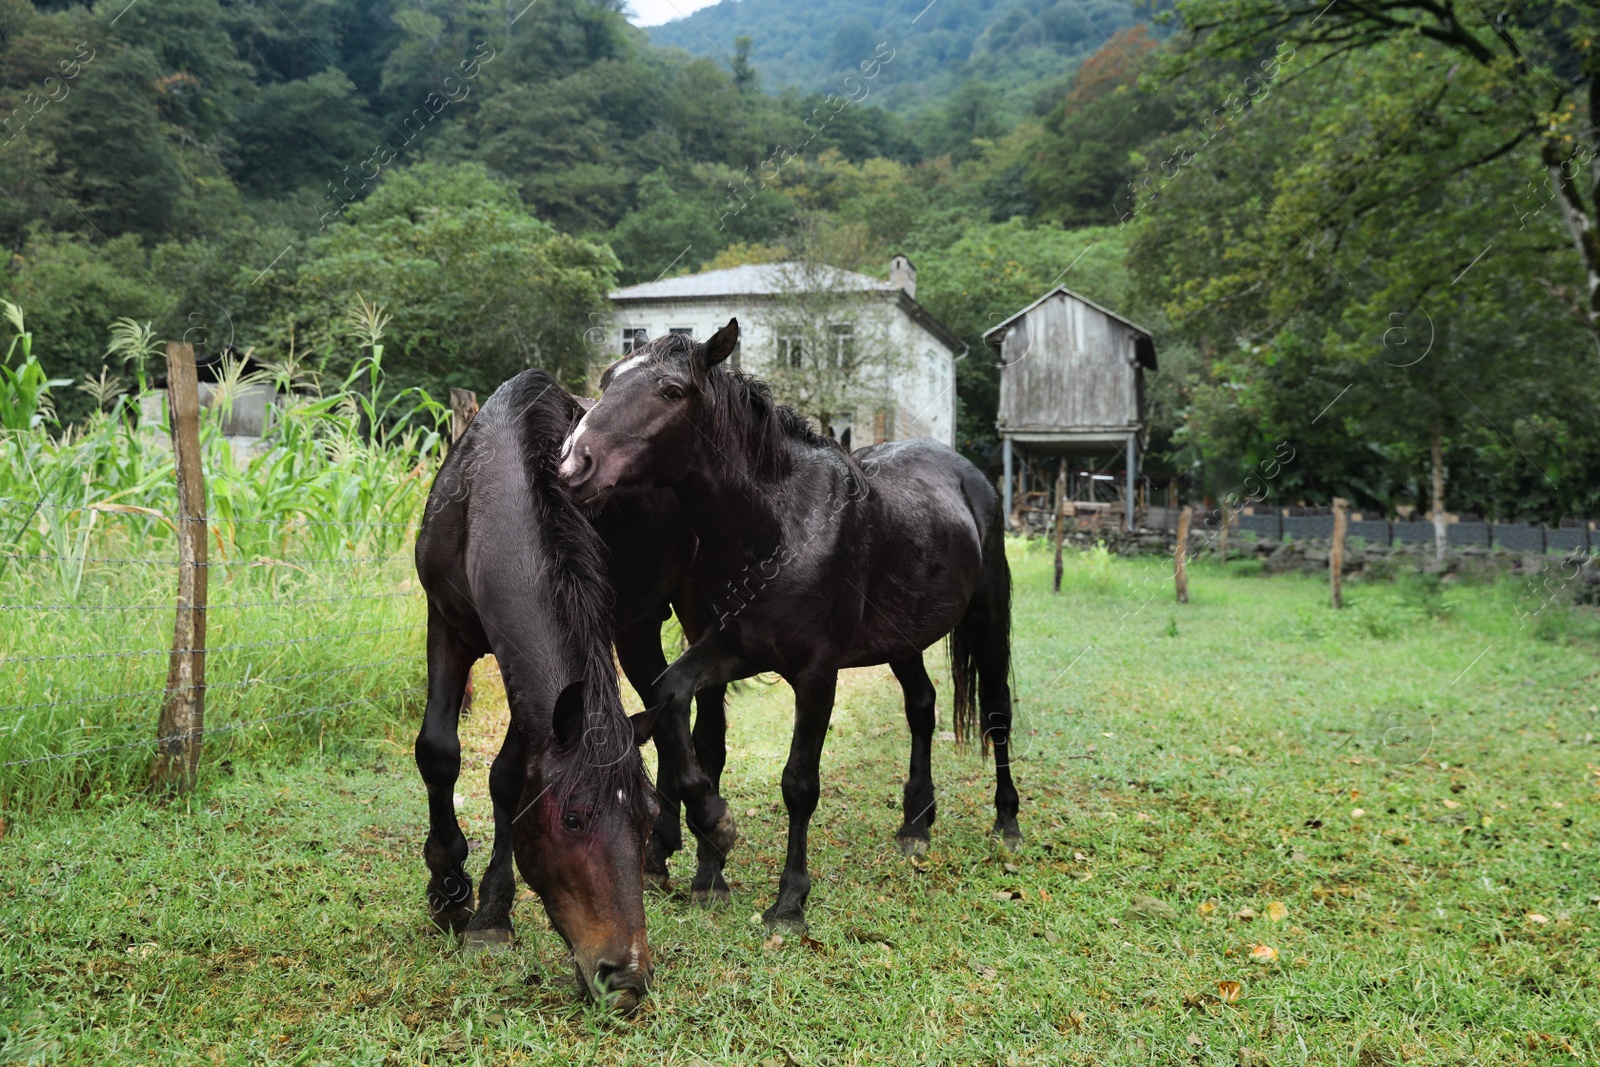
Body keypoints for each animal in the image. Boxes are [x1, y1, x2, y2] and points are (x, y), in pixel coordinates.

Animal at [419, 371, 662, 1017]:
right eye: (573, 819)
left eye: (648, 817)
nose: (626, 978)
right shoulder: (444, 625)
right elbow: (438, 752)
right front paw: (449, 889)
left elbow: (508, 777)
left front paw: (490, 913)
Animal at [556, 323, 1017, 934]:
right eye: (608, 380)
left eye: (672, 391)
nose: (572, 466)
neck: (780, 526)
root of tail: (966, 474)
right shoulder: (731, 649)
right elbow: (674, 701)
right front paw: (714, 830)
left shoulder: (816, 673)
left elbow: (799, 782)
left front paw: (790, 901)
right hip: (902, 641)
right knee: (922, 707)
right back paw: (916, 824)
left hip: (987, 618)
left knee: (997, 715)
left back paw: (1007, 824)